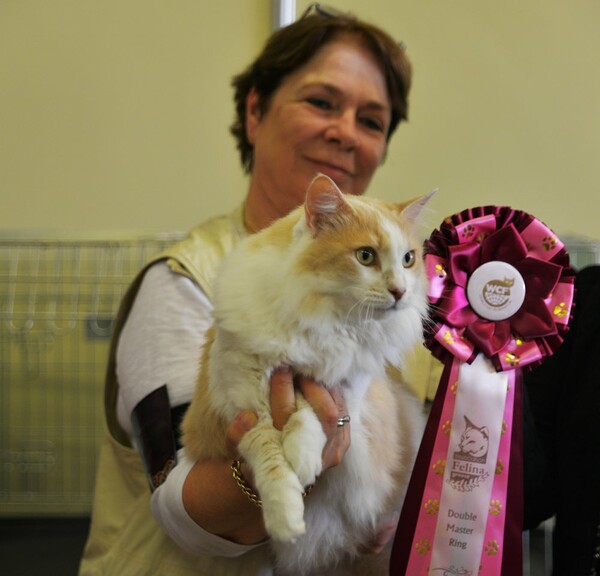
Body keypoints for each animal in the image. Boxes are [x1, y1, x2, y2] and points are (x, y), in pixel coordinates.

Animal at [180, 176, 434, 576]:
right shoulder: (243, 401)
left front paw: (304, 455)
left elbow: (306, 414)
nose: (400, 291)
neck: (322, 322)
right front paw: (286, 517)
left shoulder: (341, 388)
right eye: (366, 256)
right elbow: (270, 457)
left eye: (409, 259)